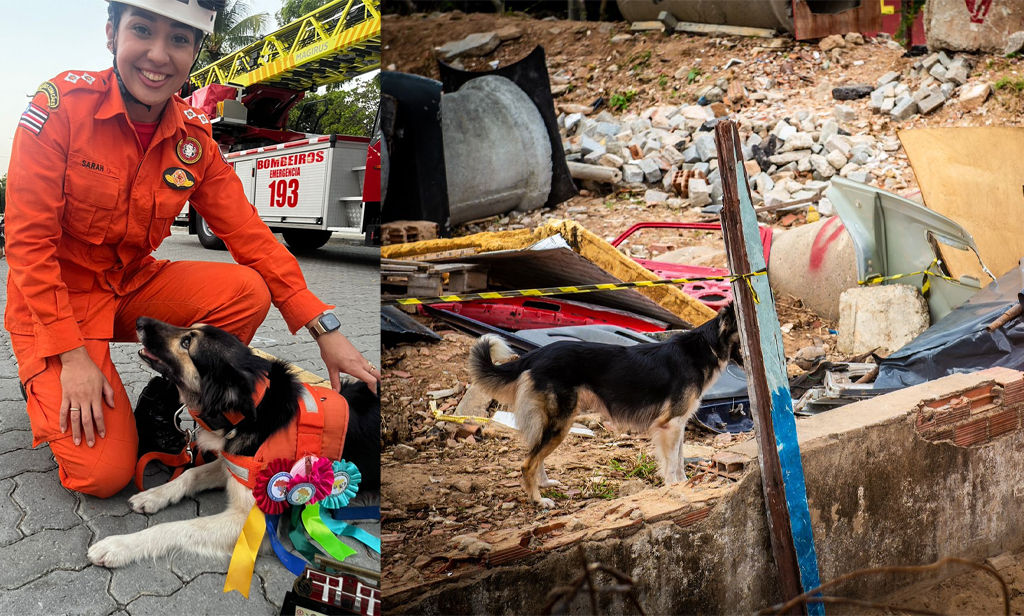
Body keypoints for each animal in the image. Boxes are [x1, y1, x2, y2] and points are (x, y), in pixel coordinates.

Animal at [86, 317, 382, 564]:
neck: (247, 412)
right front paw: (154, 495)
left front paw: (120, 545)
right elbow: (189, 475)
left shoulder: (251, 520)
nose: (139, 321)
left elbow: (178, 527)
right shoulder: (234, 466)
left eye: (187, 342)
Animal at [468, 302, 741, 507]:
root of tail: (536, 354)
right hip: (562, 421)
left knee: (535, 454)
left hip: (551, 420)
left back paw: (544, 484)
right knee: (527, 463)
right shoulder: (670, 425)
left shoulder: (678, 424)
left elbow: (680, 459)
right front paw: (674, 486)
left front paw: (685, 485)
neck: (706, 347)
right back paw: (539, 500)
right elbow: (673, 463)